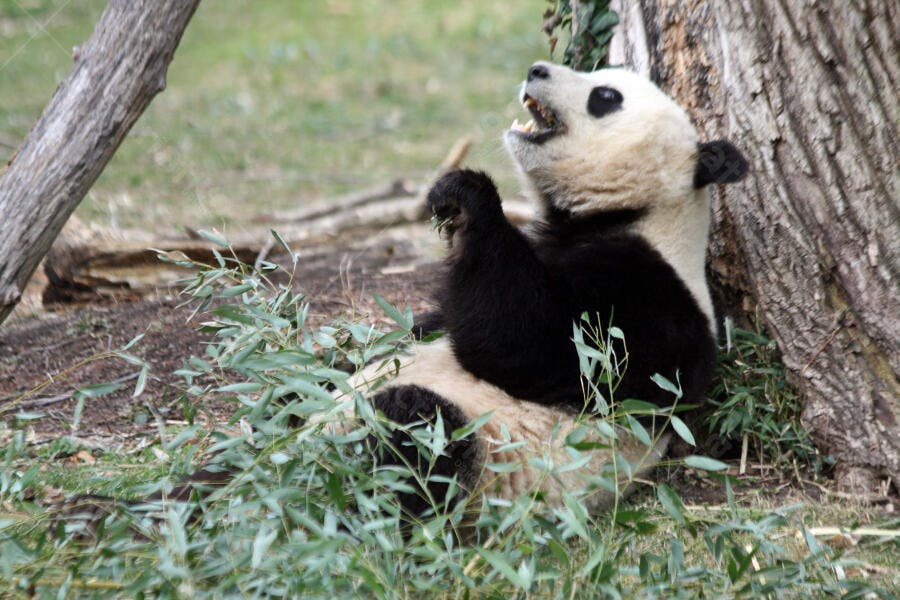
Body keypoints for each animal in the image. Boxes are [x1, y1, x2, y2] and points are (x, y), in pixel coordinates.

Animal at [345, 61, 748, 517]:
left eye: (606, 96)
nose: (536, 69)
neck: (638, 213)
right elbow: (429, 326)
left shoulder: (650, 295)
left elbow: (534, 346)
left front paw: (466, 197)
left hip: (487, 456)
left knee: (416, 431)